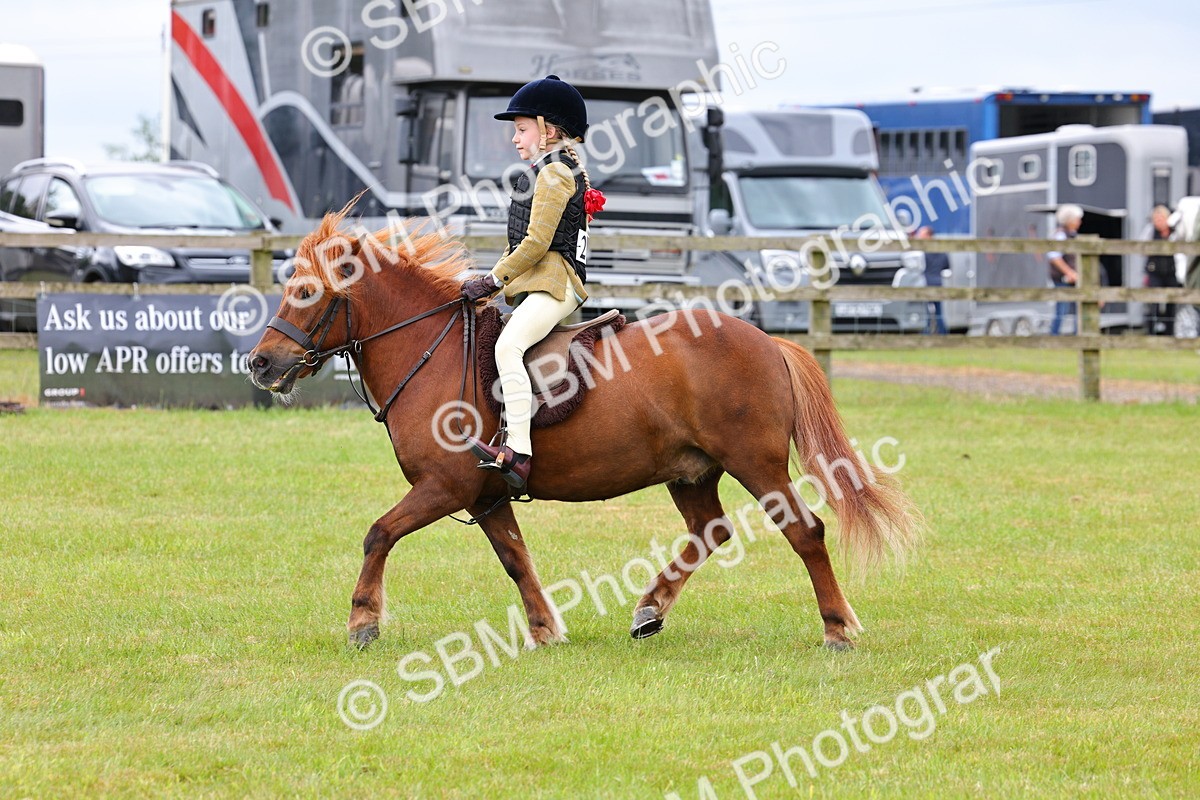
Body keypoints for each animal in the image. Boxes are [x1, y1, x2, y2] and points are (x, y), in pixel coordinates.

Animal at [247, 207, 921, 650]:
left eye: (306, 292)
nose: (260, 364)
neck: (430, 350)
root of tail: (767, 341)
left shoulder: (445, 487)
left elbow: (378, 534)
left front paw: (363, 622)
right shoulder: (487, 496)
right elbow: (516, 559)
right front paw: (545, 629)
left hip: (755, 464)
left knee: (805, 532)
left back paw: (837, 628)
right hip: (690, 471)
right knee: (709, 531)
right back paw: (649, 611)